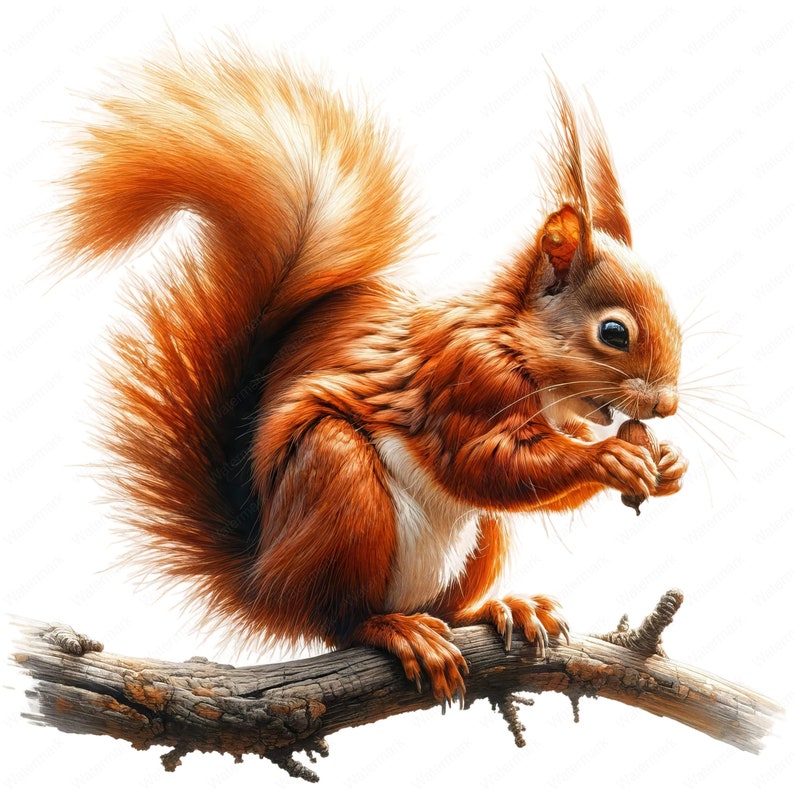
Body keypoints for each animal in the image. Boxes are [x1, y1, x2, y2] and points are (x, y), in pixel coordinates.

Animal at [54, 45, 687, 703]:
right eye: (614, 332)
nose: (666, 407)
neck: (514, 344)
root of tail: (263, 580)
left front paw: (666, 463)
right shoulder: (464, 377)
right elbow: (484, 463)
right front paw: (610, 456)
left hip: (478, 540)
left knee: (445, 602)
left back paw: (501, 609)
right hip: (339, 482)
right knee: (336, 617)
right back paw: (397, 630)